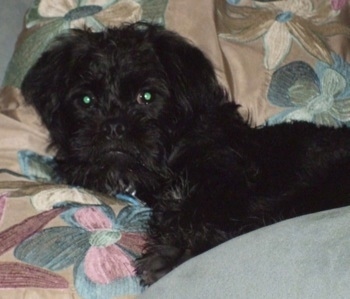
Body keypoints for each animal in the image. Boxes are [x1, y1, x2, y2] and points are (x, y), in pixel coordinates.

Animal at [21, 23, 350, 286]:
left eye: (146, 96)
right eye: (86, 100)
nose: (114, 126)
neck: (174, 155)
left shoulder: (234, 184)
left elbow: (205, 215)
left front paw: (170, 255)